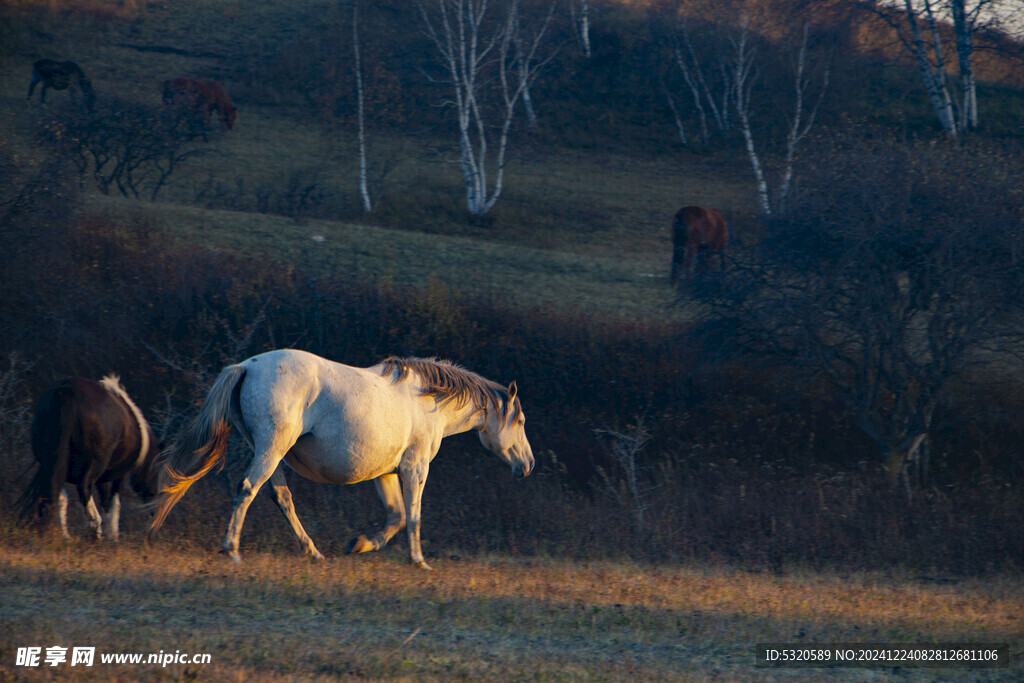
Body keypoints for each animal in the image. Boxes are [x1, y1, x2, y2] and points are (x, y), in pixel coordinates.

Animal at [16, 376, 160, 540]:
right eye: (155, 473)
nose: (154, 511)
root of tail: (67, 391)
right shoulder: (118, 473)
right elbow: (113, 501)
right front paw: (112, 535)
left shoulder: (102, 477)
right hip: (94, 464)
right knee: (83, 489)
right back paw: (95, 530)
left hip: (53, 462)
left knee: (57, 492)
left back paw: (66, 536)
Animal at [153, 350, 536, 569]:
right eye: (520, 421)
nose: (527, 465)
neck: (426, 401)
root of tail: (246, 366)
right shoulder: (415, 468)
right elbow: (413, 517)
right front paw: (419, 561)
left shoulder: (386, 473)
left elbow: (396, 517)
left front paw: (360, 545)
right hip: (271, 449)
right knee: (247, 489)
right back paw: (231, 550)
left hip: (270, 453)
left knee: (281, 497)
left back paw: (313, 552)